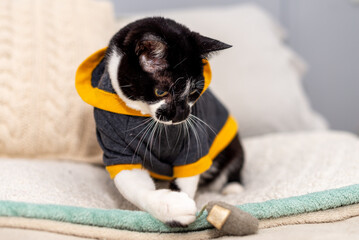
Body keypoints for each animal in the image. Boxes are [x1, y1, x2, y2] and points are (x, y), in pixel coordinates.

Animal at [88, 17, 245, 227]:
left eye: (194, 92)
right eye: (161, 92)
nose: (180, 116)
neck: (145, 115)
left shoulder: (193, 140)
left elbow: (187, 172)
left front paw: (180, 201)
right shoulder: (115, 144)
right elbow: (133, 183)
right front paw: (172, 206)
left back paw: (233, 187)